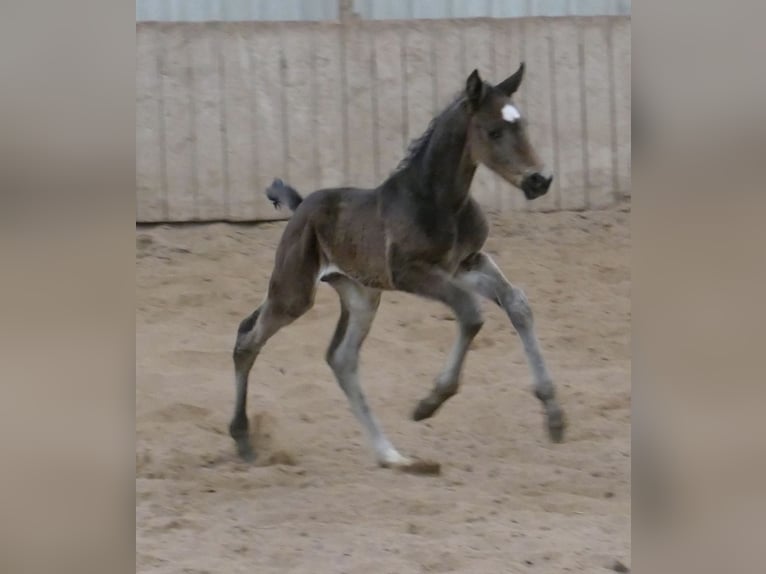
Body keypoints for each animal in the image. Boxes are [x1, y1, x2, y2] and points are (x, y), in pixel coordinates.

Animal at [230, 65, 565, 472]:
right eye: (494, 131)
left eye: (523, 124)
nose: (539, 180)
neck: (439, 202)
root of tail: (300, 205)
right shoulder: (410, 272)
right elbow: (470, 313)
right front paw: (430, 403)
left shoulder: (467, 263)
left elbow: (516, 302)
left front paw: (554, 416)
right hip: (294, 291)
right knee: (249, 340)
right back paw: (243, 441)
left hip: (360, 294)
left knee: (341, 358)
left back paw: (391, 455)